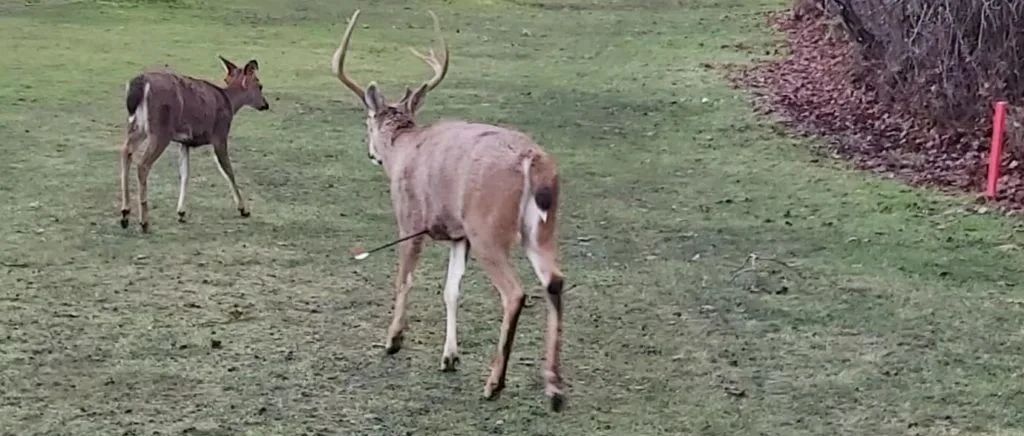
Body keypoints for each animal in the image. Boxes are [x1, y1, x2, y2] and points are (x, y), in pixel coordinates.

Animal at [118, 56, 269, 232]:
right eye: (260, 85)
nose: (265, 104)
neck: (230, 103)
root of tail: (140, 84)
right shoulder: (220, 135)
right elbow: (228, 171)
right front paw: (244, 209)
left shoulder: (185, 142)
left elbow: (185, 174)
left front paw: (181, 212)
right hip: (161, 130)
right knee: (142, 164)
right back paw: (144, 222)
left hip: (137, 126)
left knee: (126, 151)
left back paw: (125, 214)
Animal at [332, 9, 567, 411]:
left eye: (366, 121)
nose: (371, 153)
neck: (403, 149)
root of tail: (532, 160)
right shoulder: (458, 235)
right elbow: (451, 289)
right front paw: (449, 357)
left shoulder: (410, 218)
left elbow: (405, 278)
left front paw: (393, 340)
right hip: (540, 228)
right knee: (555, 281)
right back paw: (554, 389)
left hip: (487, 227)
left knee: (515, 293)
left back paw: (494, 383)